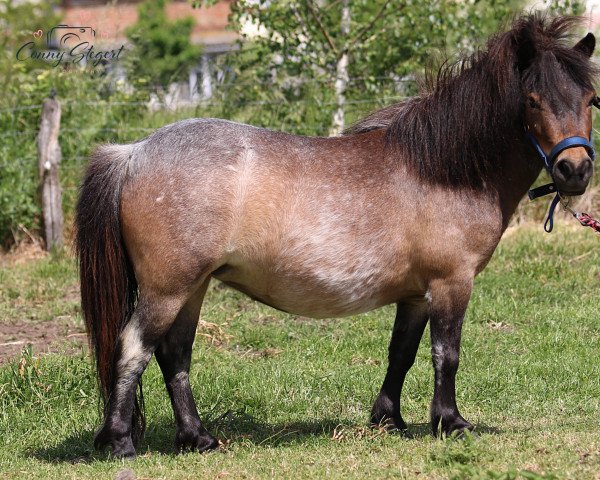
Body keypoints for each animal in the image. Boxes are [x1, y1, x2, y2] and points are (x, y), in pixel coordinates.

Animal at [77, 14, 596, 458]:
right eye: (533, 100)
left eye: (590, 99)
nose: (575, 170)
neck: (444, 168)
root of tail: (133, 152)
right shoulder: (451, 283)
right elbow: (445, 355)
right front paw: (450, 423)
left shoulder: (416, 294)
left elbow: (402, 353)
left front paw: (389, 419)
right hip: (169, 288)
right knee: (134, 349)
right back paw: (120, 442)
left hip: (193, 286)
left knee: (174, 355)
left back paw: (198, 438)